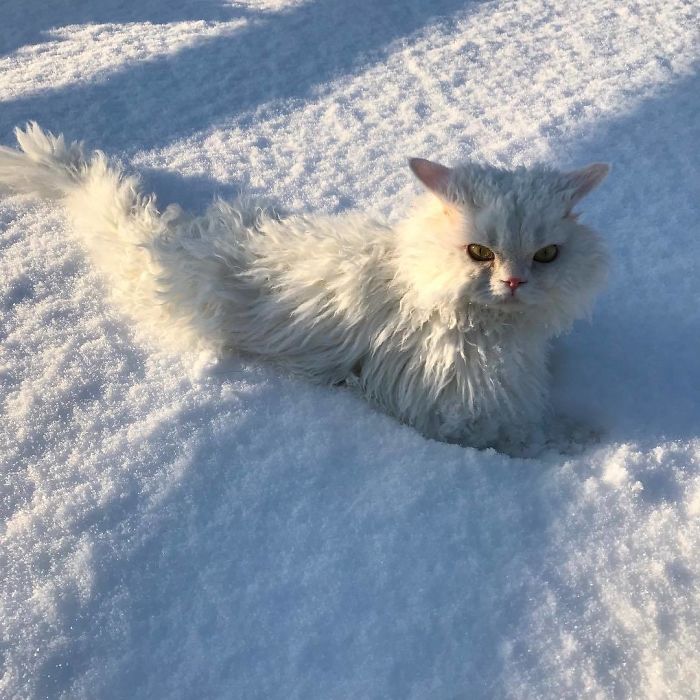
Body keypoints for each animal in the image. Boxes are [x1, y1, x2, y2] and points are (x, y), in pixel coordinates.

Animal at [0, 123, 608, 452]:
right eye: (479, 252)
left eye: (547, 255)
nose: (514, 281)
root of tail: (174, 242)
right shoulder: (454, 415)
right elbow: (536, 438)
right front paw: (584, 440)